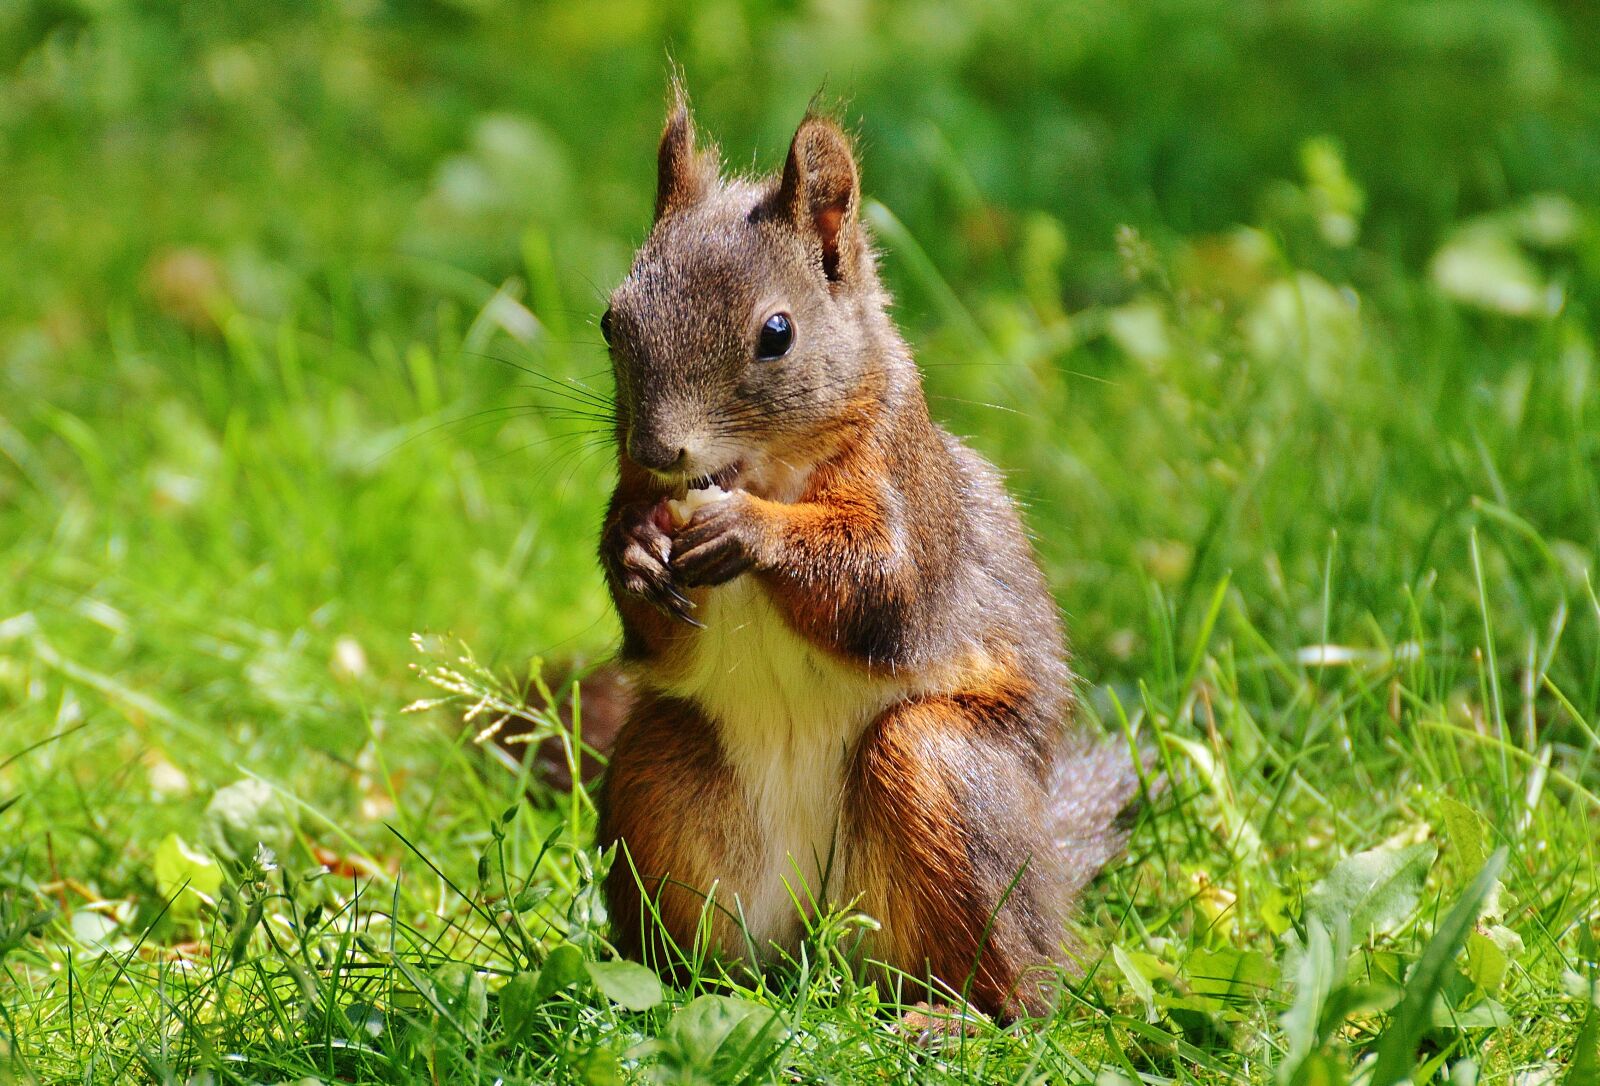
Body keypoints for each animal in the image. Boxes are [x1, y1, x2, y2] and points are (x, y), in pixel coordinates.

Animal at [590, 84, 1145, 1021]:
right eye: (610, 321)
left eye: (777, 333)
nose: (661, 450)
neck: (765, 470)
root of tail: (817, 948)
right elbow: (652, 624)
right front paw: (633, 548)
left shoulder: (910, 493)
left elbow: (884, 584)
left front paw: (752, 530)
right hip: (660, 772)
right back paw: (677, 988)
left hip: (943, 774)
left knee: (1026, 995)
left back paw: (963, 1021)